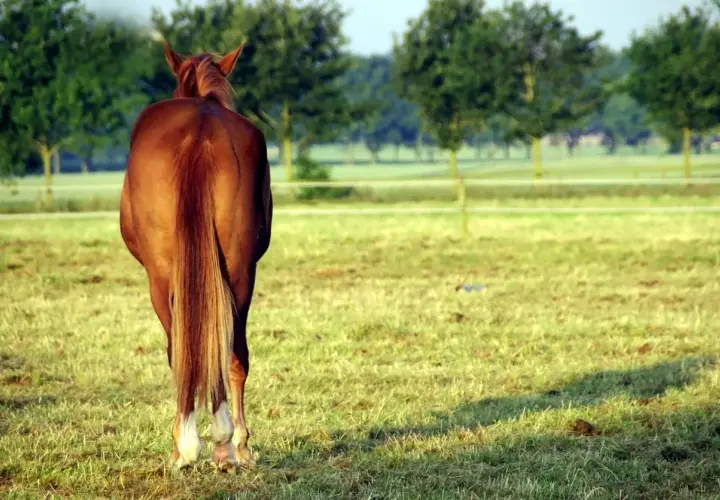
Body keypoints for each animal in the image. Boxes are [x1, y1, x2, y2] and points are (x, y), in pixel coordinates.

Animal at [119, 40, 273, 472]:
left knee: (184, 353)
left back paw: (200, 445)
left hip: (160, 279)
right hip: (240, 272)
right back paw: (227, 445)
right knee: (233, 354)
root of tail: (200, 131)